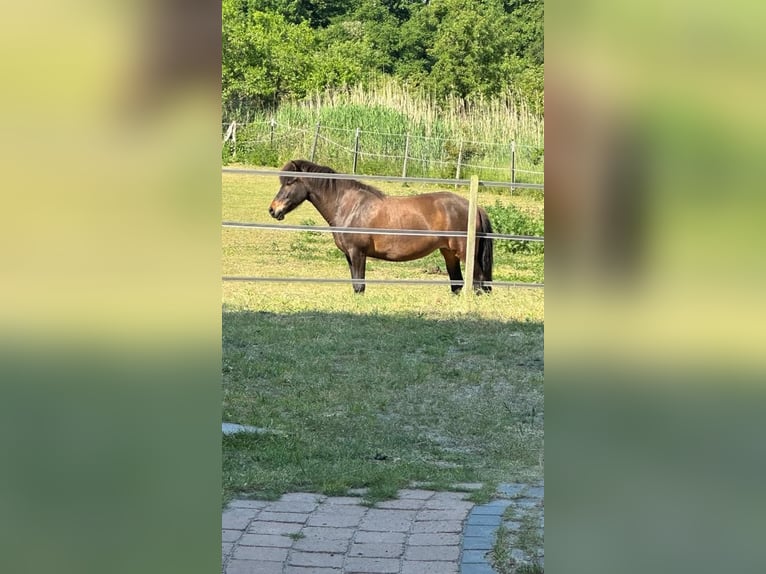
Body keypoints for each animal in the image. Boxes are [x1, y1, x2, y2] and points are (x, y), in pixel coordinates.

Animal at [270, 161, 498, 296]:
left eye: (290, 182)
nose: (273, 210)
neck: (349, 206)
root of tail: (474, 206)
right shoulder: (349, 255)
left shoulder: (358, 253)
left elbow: (359, 286)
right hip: (449, 253)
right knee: (457, 284)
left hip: (465, 254)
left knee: (477, 283)